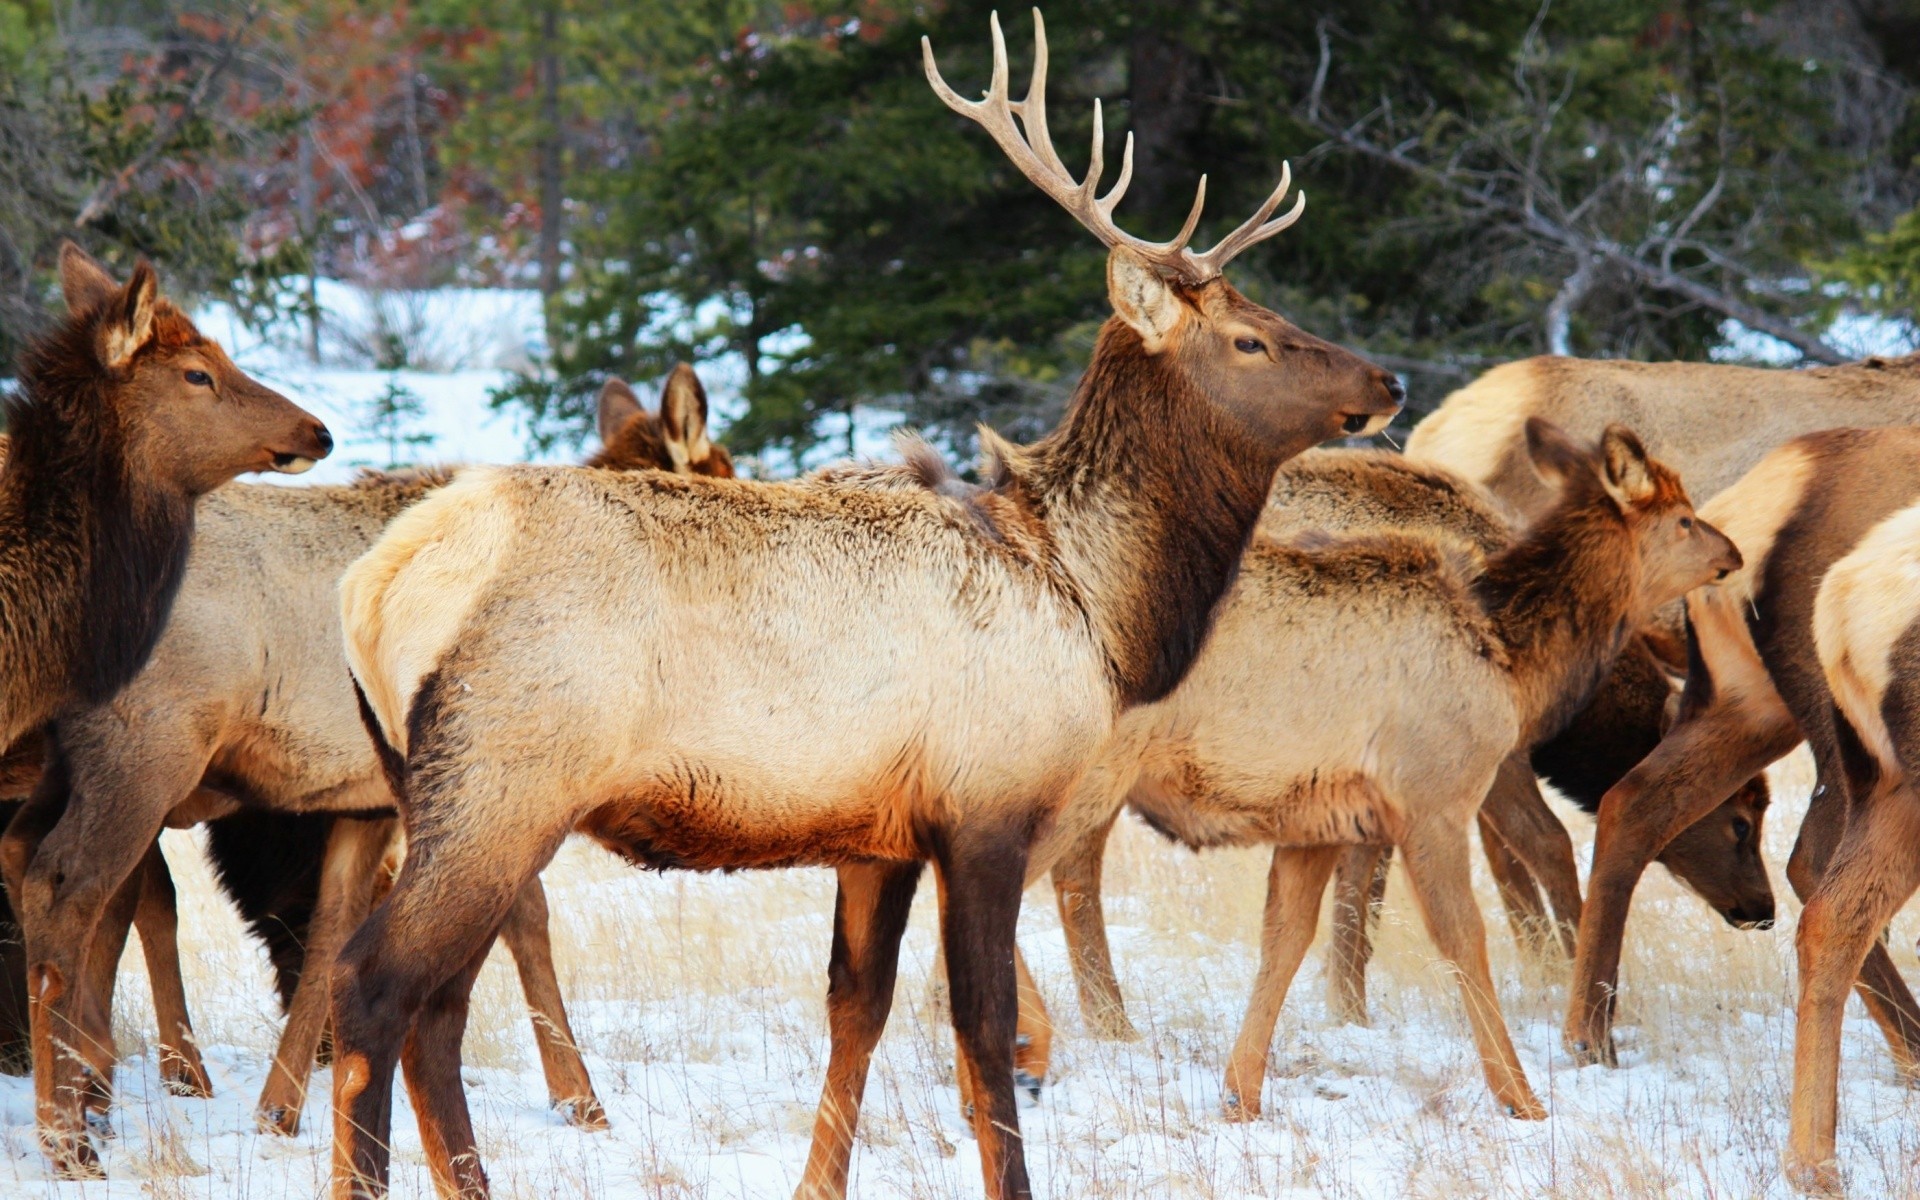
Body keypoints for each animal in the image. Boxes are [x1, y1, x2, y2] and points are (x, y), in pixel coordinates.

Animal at [0, 362, 729, 1167]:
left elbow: (330, 936)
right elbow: (526, 919)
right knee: (71, 886)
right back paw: (71, 1125)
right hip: (145, 752)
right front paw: (581, 1099)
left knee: (35, 859)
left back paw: (85, 1089)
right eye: (722, 473)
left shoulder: (364, 801)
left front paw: (279, 1109)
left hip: (78, 763)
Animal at [318, 11, 1397, 1198]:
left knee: (440, 1010)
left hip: (443, 790)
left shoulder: (878, 834)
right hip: (504, 779)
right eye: (1250, 338)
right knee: (374, 986)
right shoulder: (988, 804)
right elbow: (983, 1032)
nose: (1387, 381)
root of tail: (373, 584)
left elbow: (858, 1013)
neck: (1097, 603)